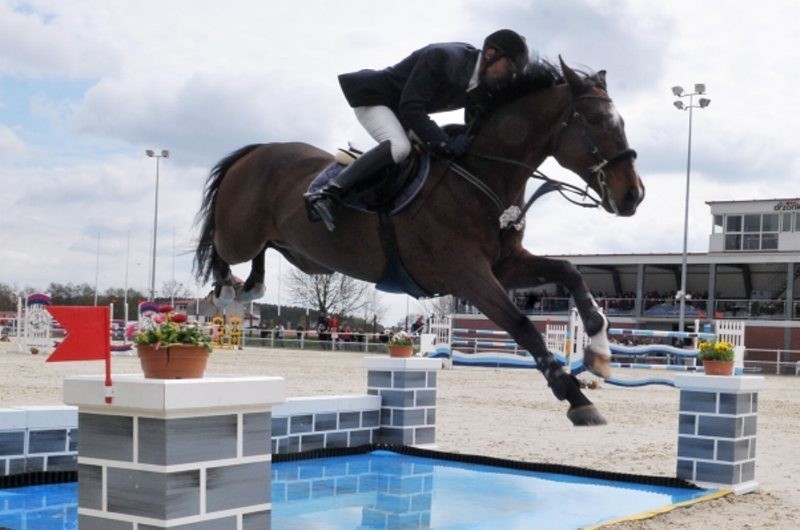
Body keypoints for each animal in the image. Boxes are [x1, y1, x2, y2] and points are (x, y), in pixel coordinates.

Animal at [194, 56, 644, 424]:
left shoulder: (506, 264)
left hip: (303, 254)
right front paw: (576, 398)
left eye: (621, 122)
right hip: (240, 235)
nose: (633, 195)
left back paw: (252, 285)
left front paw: (599, 353)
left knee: (265, 251)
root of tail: (255, 151)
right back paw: (228, 291)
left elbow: (569, 272)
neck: (482, 175)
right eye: (597, 121)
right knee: (221, 246)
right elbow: (521, 325)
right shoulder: (467, 275)